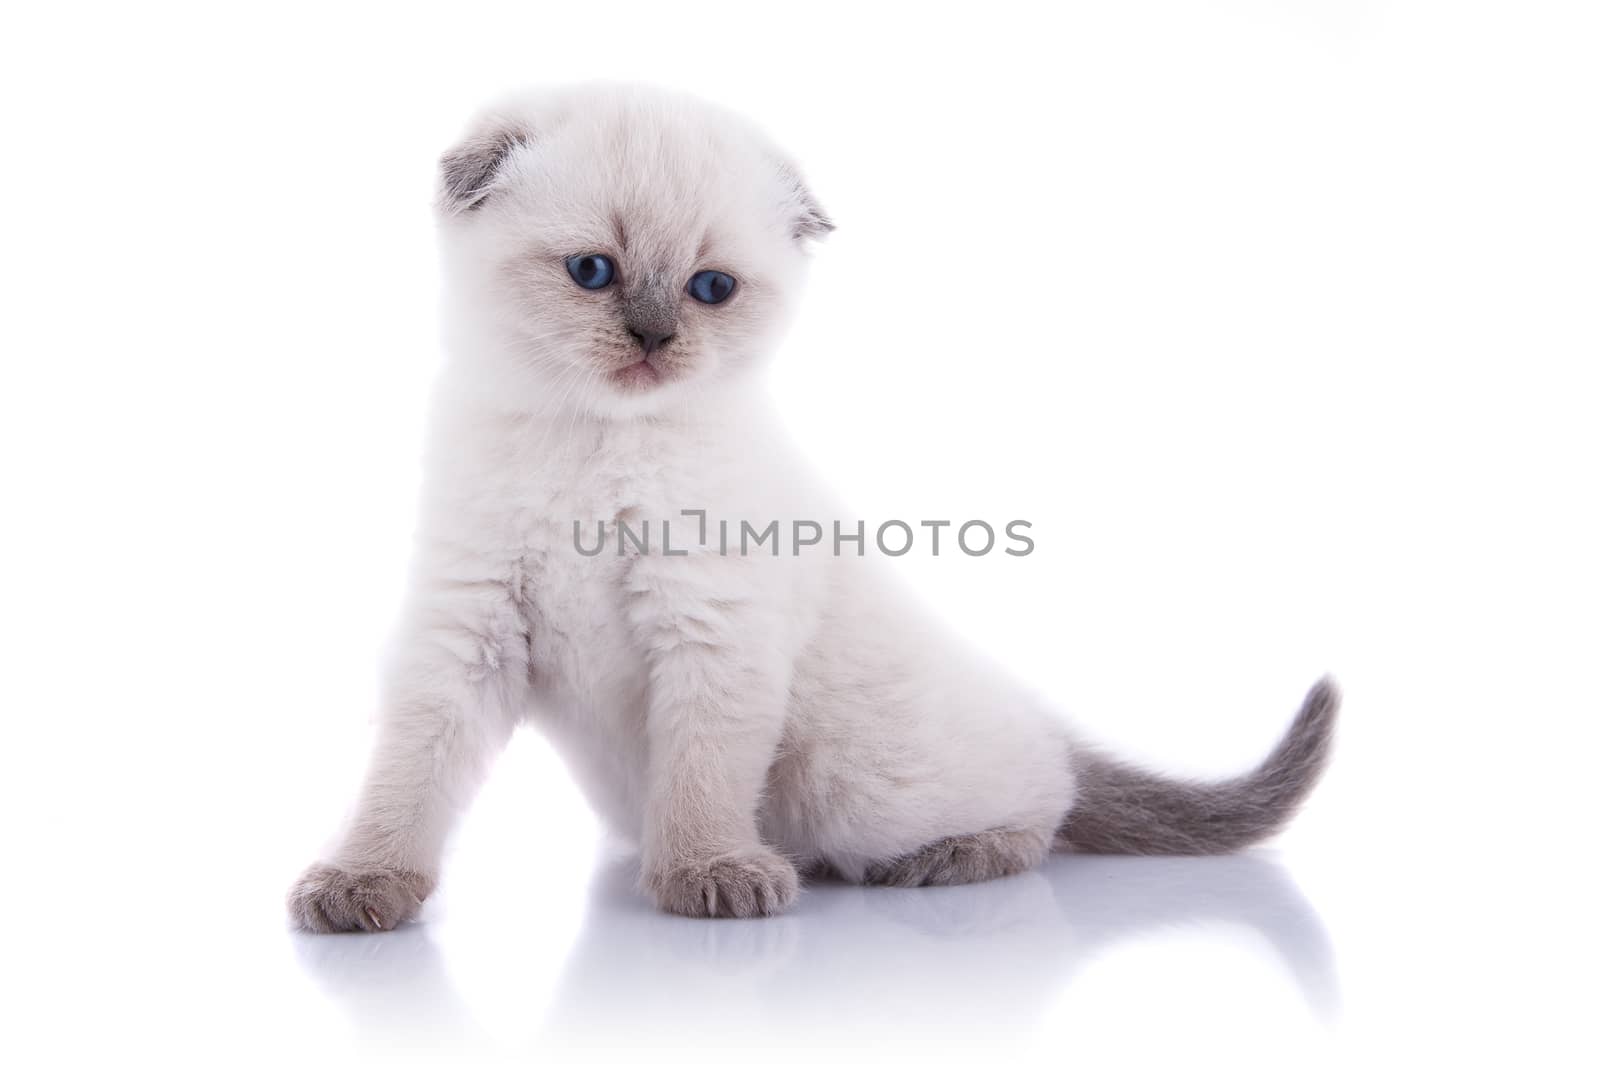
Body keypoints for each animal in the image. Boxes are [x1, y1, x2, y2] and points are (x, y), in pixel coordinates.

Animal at [288, 83, 1337, 927]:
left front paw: (710, 872)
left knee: (1049, 798)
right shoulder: (466, 631)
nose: (655, 339)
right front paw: (360, 882)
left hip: (859, 783)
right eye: (593, 271)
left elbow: (705, 774)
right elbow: (403, 782)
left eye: (711, 288)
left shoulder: (712, 633)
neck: (596, 441)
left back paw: (950, 857)